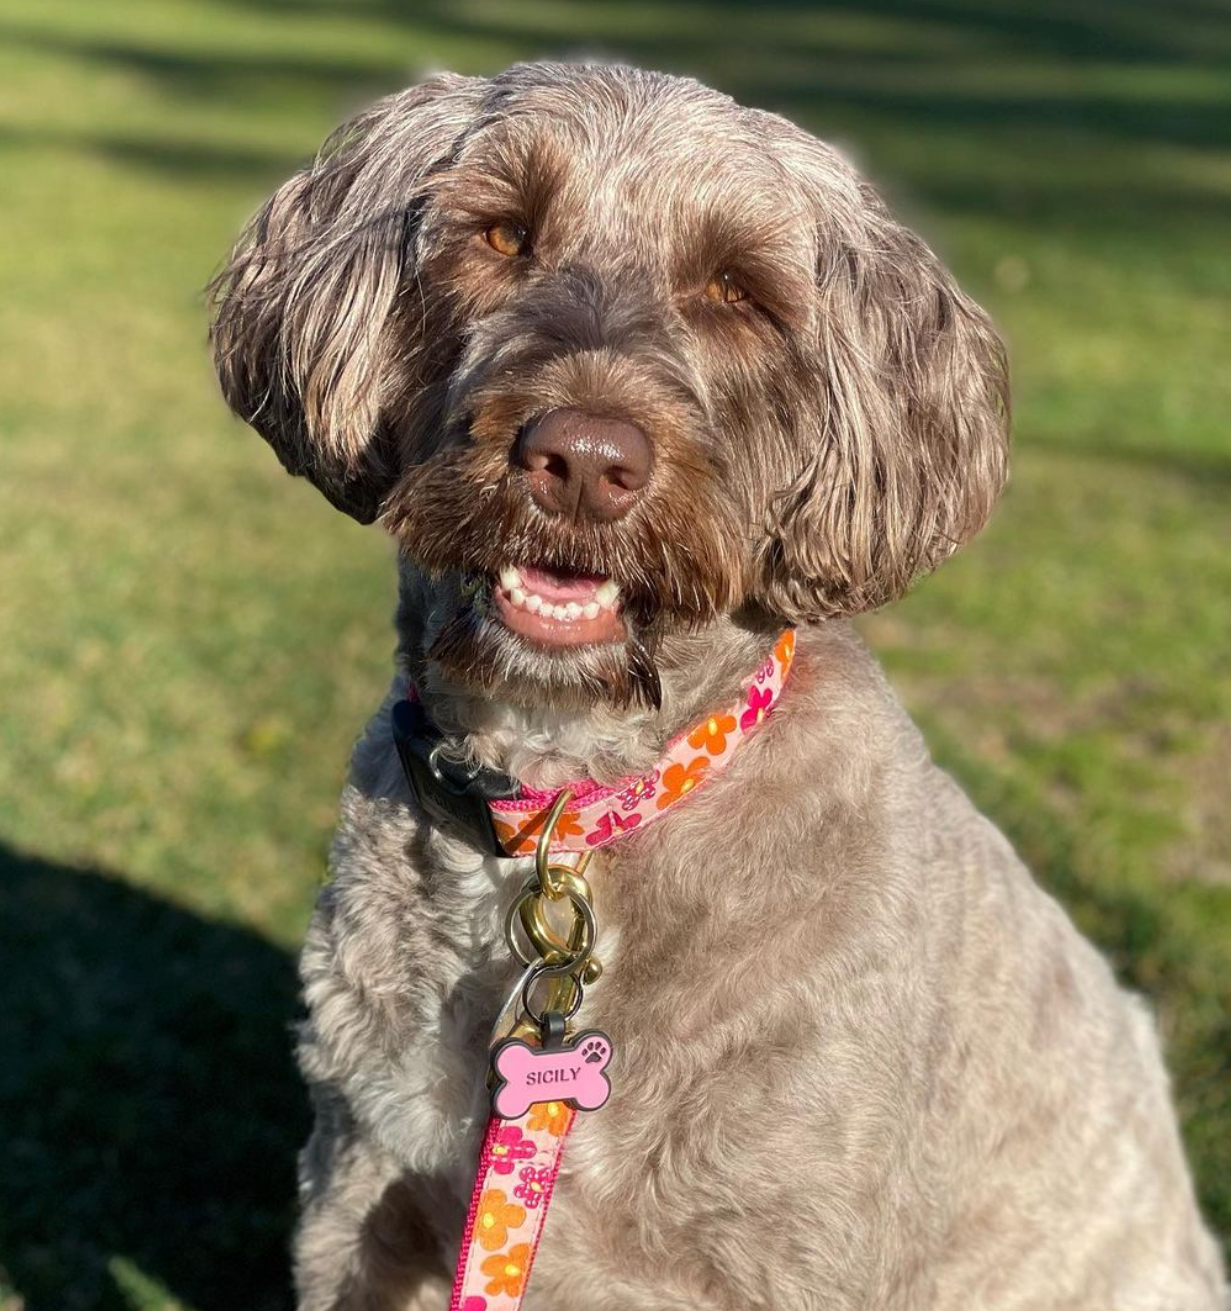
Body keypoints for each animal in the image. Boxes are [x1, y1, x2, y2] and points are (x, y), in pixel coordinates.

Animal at [209, 58, 1221, 1311]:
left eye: (737, 289)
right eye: (500, 233)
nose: (583, 460)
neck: (572, 804)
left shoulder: (781, 1252)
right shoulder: (361, 1191)